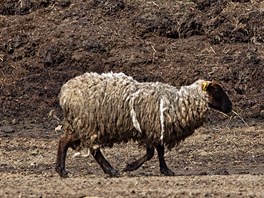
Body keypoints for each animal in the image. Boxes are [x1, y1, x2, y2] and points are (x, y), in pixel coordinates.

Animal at [54, 72, 232, 177]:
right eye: (217, 90)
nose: (230, 107)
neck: (178, 103)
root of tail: (65, 91)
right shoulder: (152, 129)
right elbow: (151, 153)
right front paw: (130, 166)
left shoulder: (156, 130)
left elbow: (159, 152)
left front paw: (166, 170)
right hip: (88, 124)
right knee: (89, 149)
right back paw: (107, 170)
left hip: (80, 125)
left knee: (65, 142)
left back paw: (63, 169)